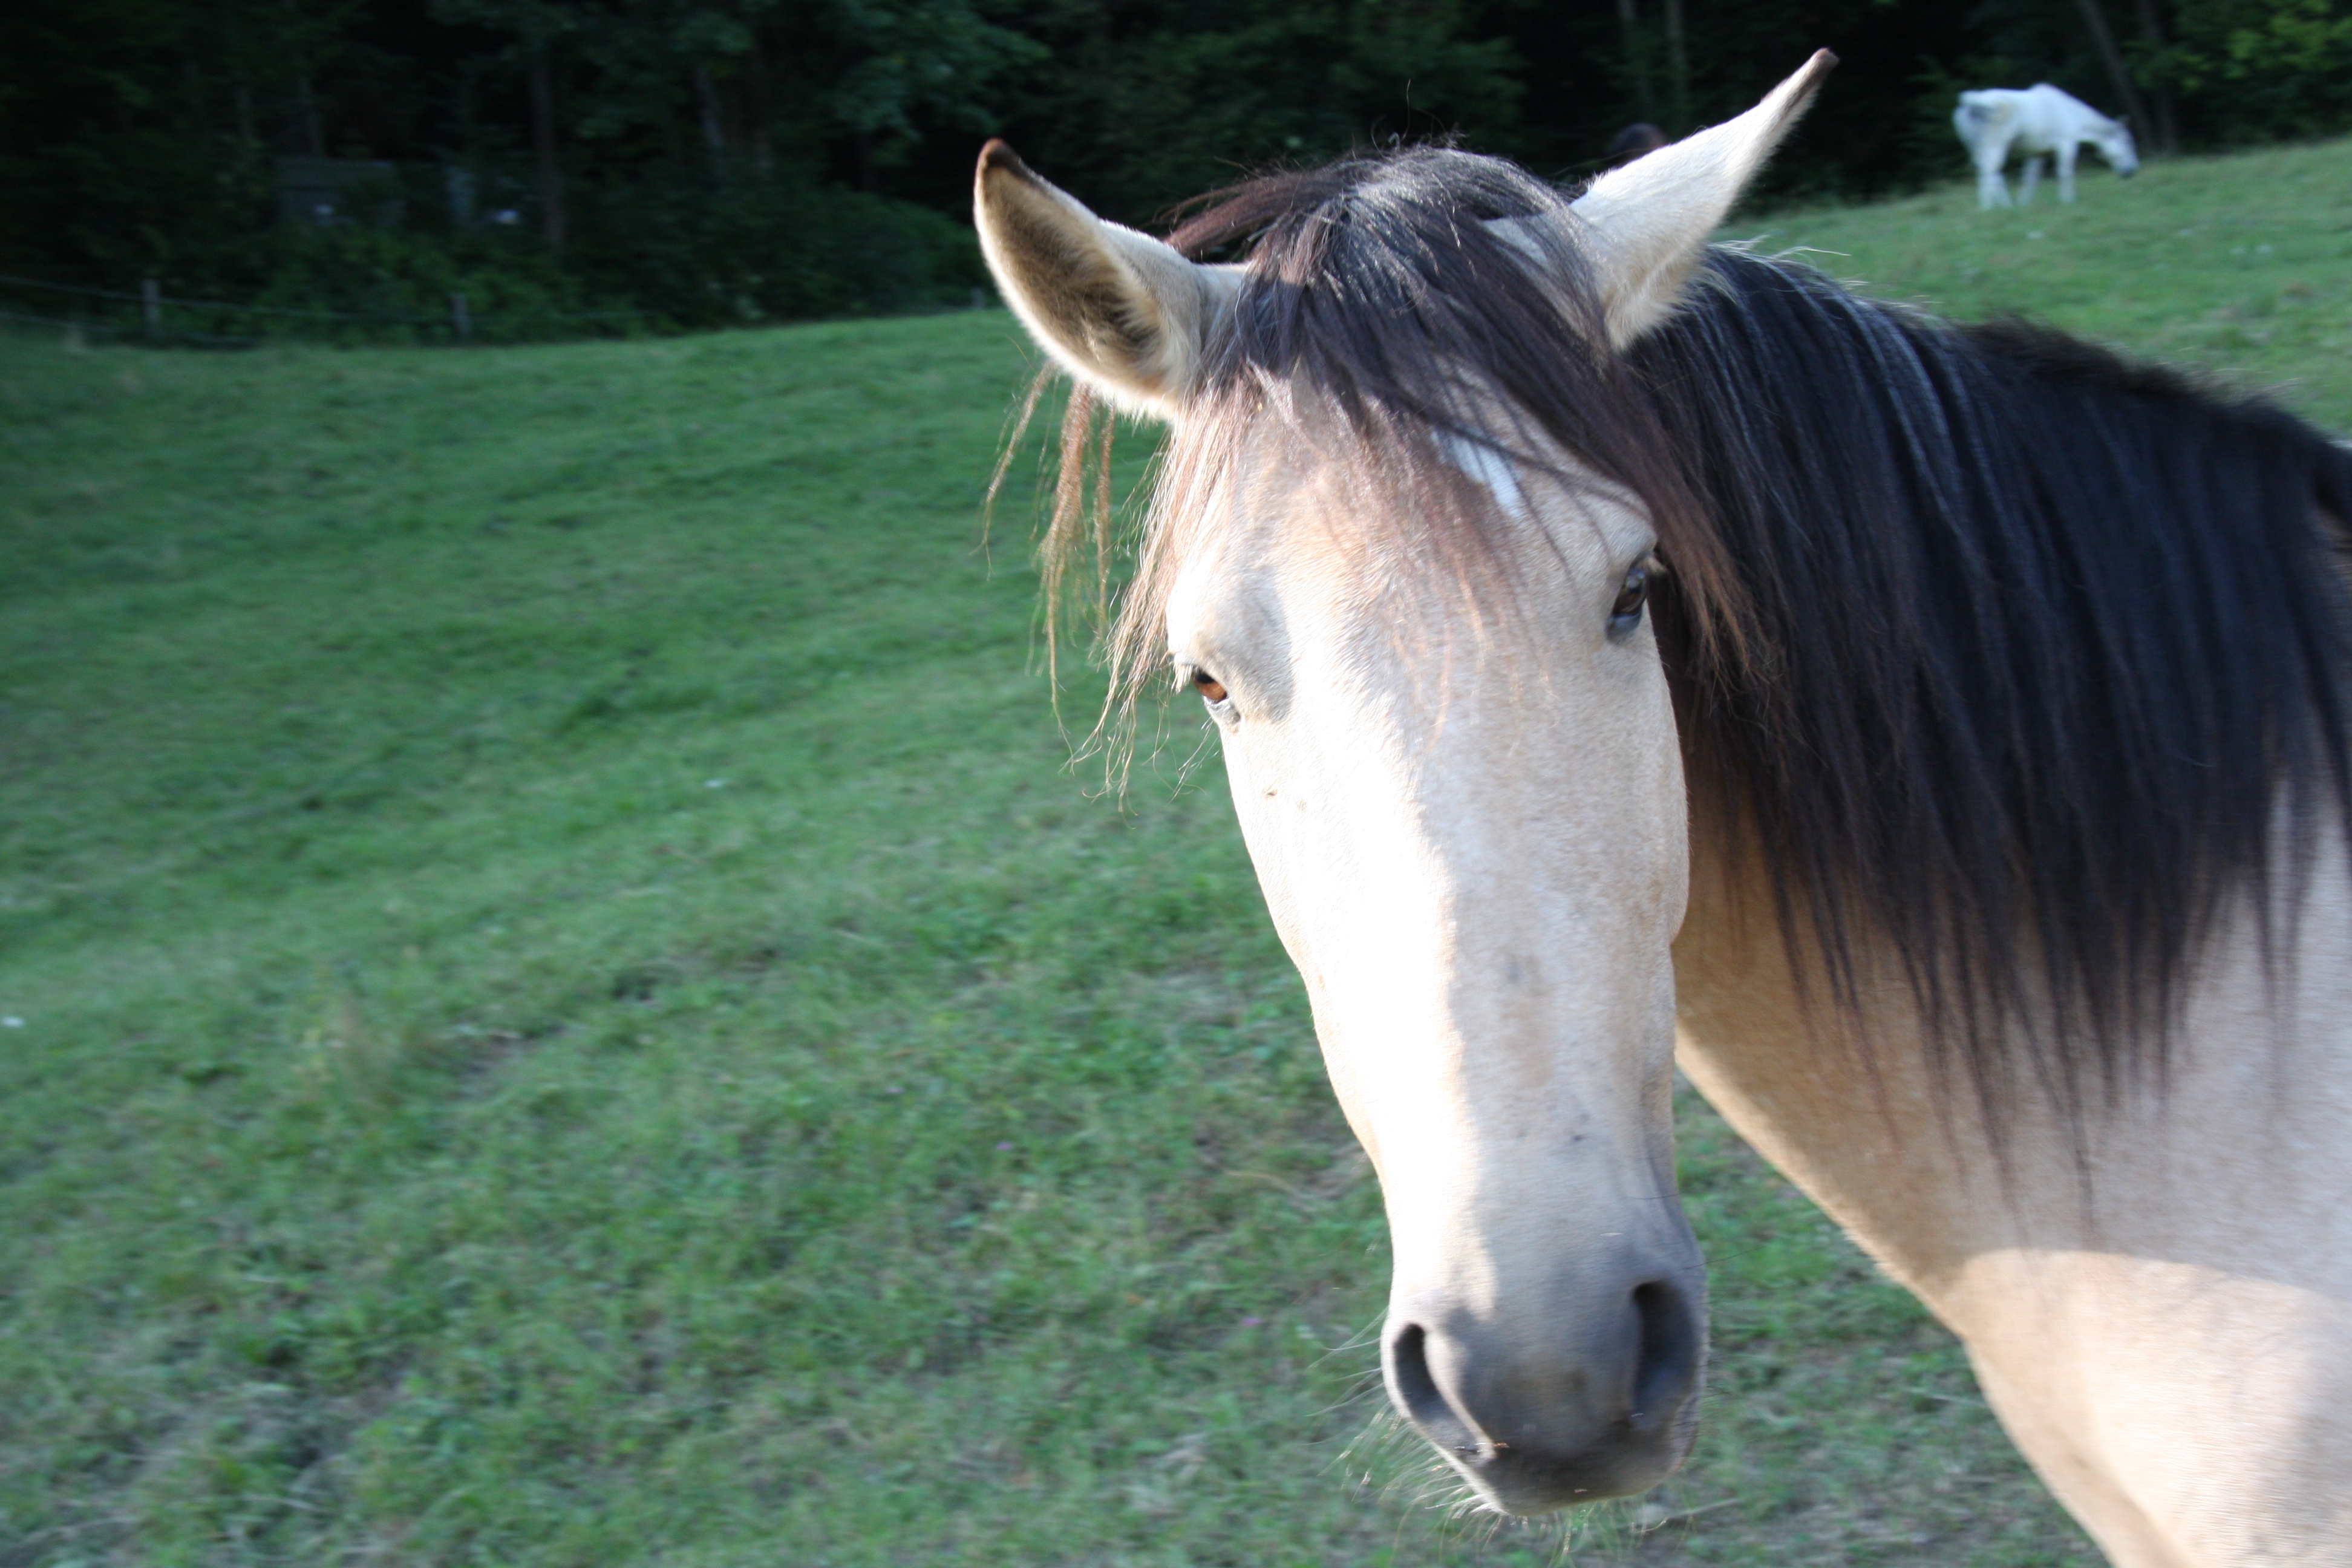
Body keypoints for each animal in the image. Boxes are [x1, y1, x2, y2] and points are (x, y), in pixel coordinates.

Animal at [1956, 84, 2139, 209]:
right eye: (2128, 141)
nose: (2131, 171)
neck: (2073, 115)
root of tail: (1973, 103)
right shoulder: (2066, 145)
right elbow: (2065, 173)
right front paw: (2068, 201)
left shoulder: (2037, 154)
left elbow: (2030, 179)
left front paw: (2024, 205)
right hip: (1995, 146)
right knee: (1988, 174)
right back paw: (1987, 209)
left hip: (1978, 148)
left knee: (1995, 175)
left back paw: (2006, 207)